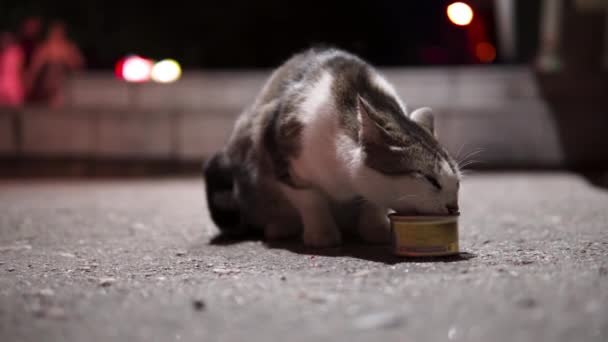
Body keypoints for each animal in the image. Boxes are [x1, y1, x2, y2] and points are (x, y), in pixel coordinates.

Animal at [204, 47, 460, 246]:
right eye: (430, 179)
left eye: (457, 183)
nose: (453, 207)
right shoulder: (280, 152)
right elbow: (311, 199)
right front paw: (322, 235)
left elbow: (373, 203)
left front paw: (376, 230)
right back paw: (281, 226)